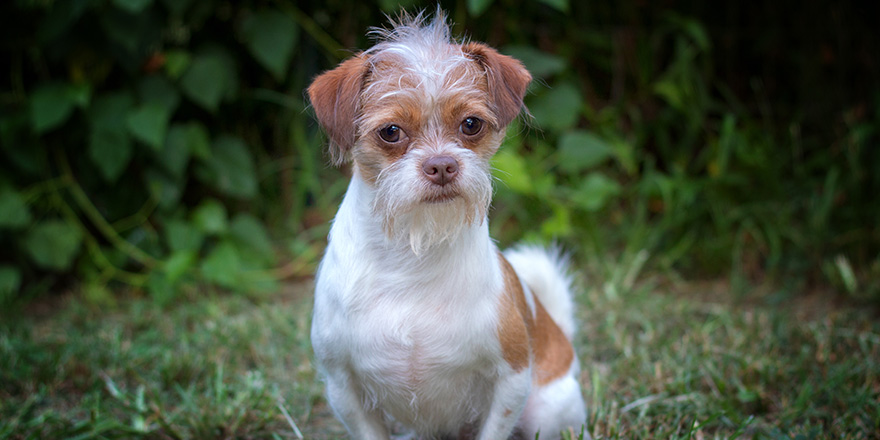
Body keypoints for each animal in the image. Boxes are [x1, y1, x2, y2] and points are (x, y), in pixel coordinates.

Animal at [306, 10, 588, 440]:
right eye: (391, 132)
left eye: (471, 124)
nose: (441, 164)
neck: (412, 253)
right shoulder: (343, 387)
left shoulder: (512, 377)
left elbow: (493, 431)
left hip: (545, 412)